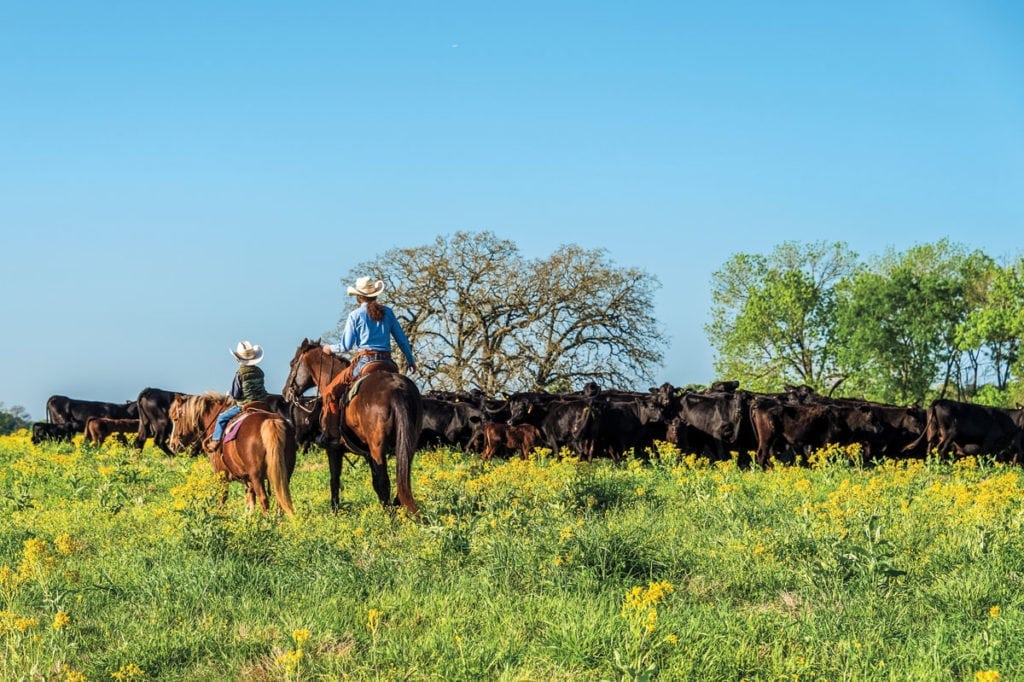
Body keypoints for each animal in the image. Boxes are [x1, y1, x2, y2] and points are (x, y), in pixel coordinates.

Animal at [167, 391, 296, 512]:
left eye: (176, 419)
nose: (173, 445)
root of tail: (270, 421)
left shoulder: (221, 476)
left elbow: (222, 501)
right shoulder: (248, 480)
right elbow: (250, 503)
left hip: (257, 476)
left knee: (264, 499)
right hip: (283, 473)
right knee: (281, 500)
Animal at [282, 337, 421, 512]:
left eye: (292, 363)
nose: (285, 392)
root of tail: (396, 388)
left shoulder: (334, 450)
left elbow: (335, 480)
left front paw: (334, 510)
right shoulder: (368, 454)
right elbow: (375, 482)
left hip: (378, 449)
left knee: (385, 482)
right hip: (407, 445)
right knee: (402, 479)